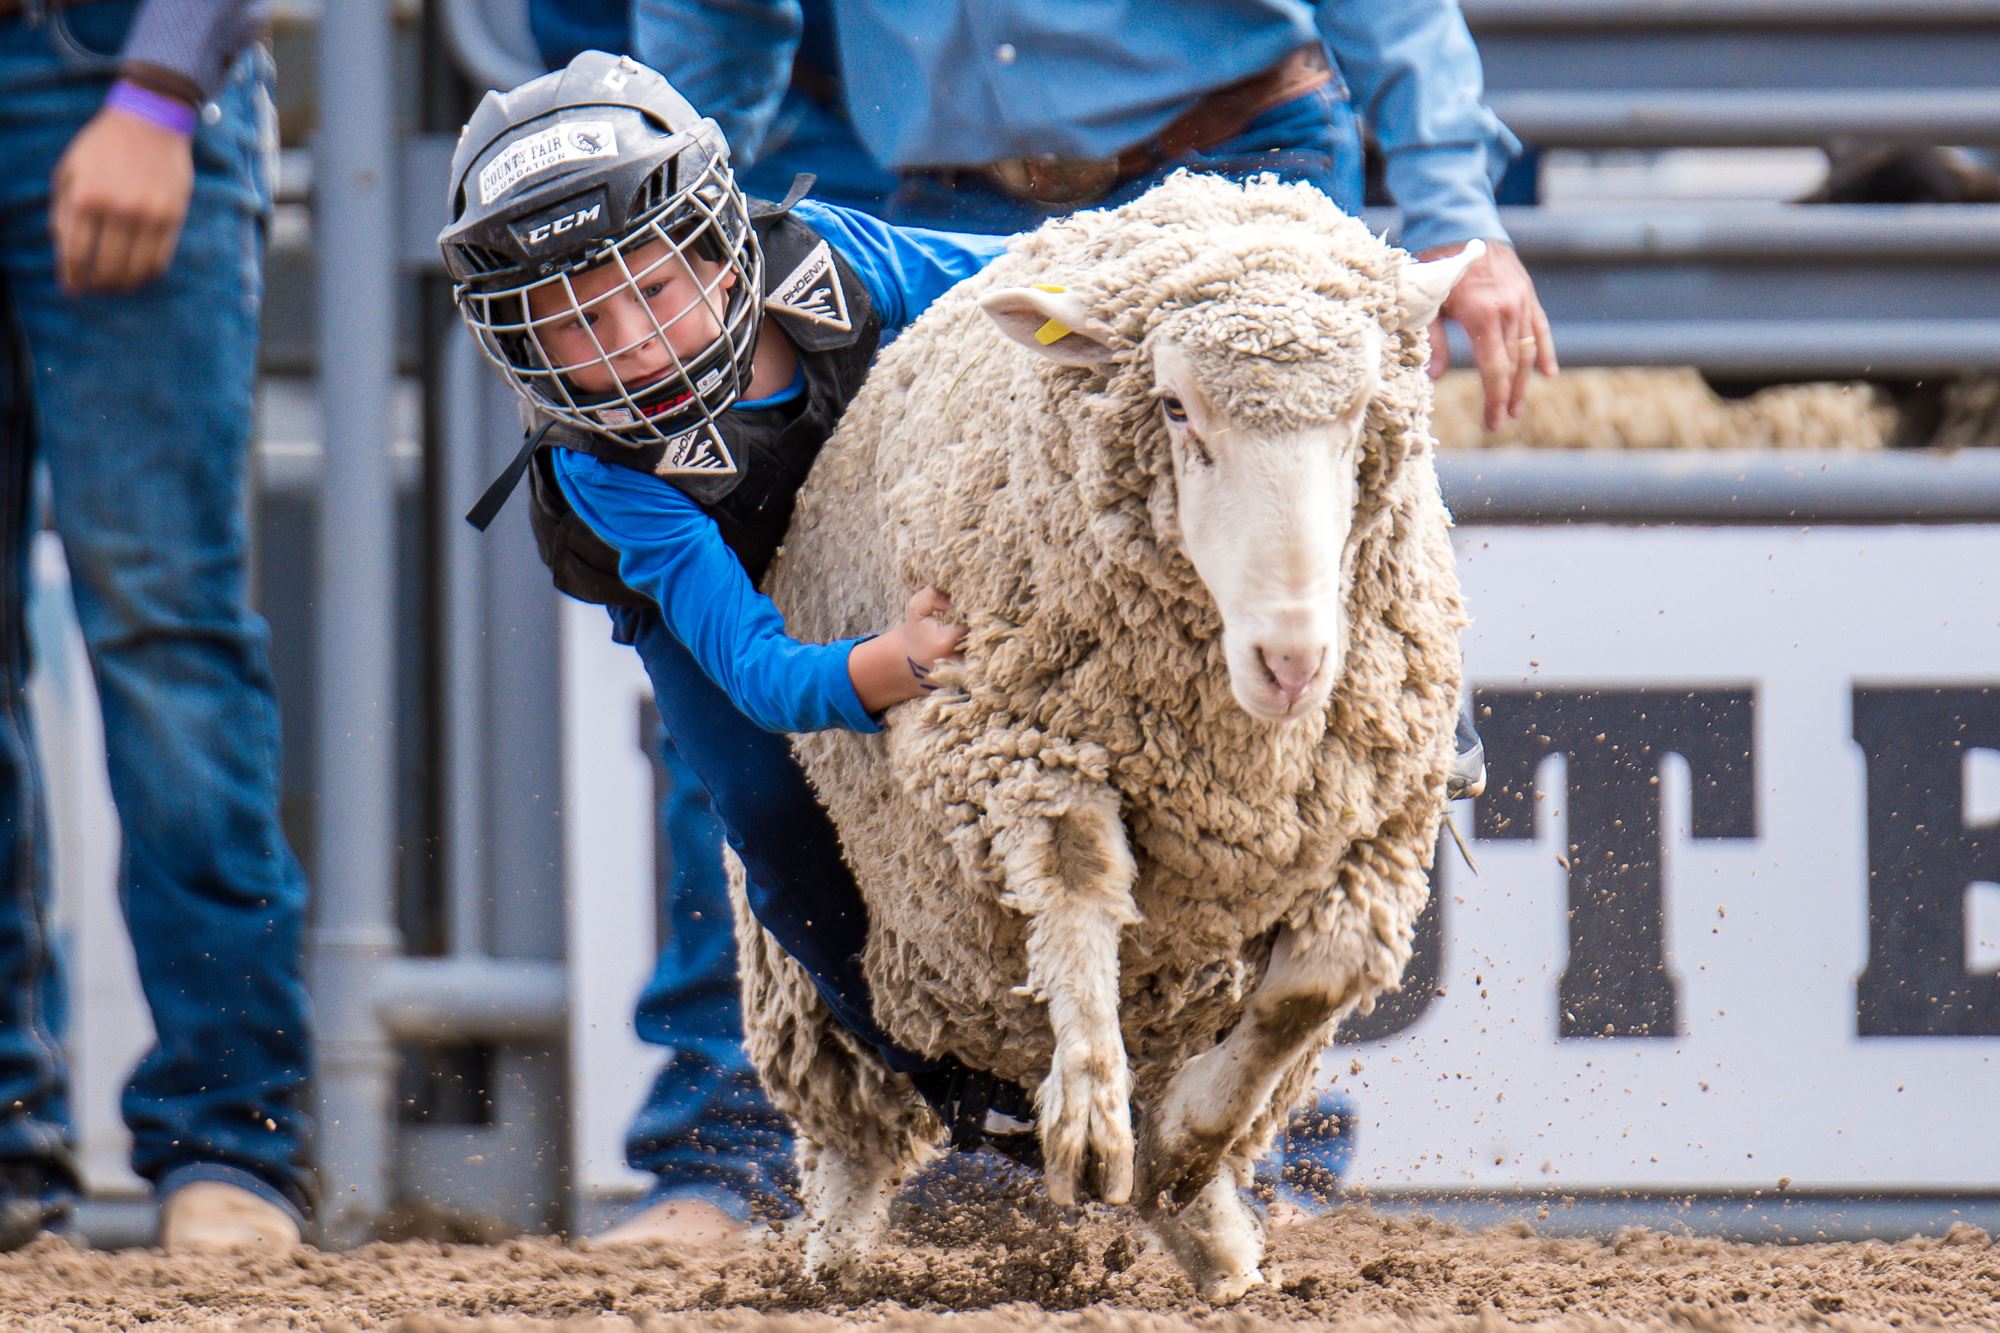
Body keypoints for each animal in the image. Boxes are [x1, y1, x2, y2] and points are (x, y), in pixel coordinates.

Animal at [740, 171, 1488, 1304]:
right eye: (1175, 406)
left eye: (1361, 409)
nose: (1292, 660)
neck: (1241, 752)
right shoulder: (1025, 751)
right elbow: (1080, 886)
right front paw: (1089, 1117)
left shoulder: (1383, 816)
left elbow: (1318, 979)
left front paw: (1179, 1141)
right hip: (835, 962)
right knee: (852, 1131)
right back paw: (832, 1263)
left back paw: (1215, 1245)